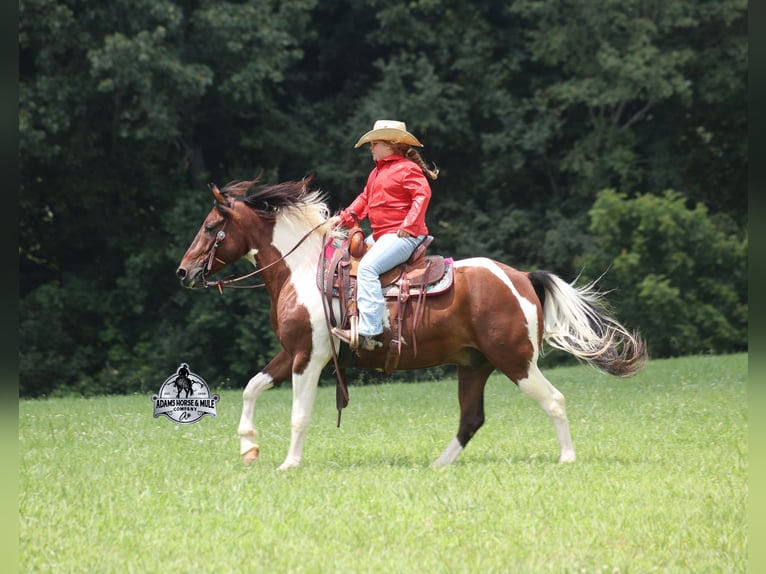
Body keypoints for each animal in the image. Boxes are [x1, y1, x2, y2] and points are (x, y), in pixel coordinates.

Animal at [176, 179, 647, 470]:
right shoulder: (292, 351)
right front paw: (249, 447)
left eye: (211, 226)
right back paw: (438, 465)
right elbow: (252, 387)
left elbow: (298, 413)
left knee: (554, 400)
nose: (183, 271)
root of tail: (521, 278)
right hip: (474, 365)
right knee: (471, 418)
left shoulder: (310, 357)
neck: (303, 270)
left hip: (516, 362)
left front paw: (289, 462)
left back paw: (567, 458)